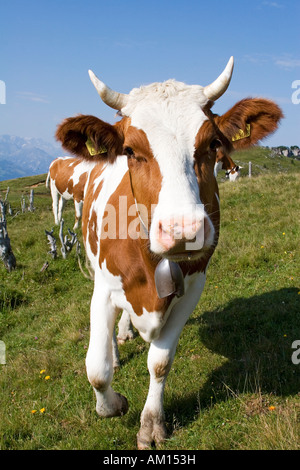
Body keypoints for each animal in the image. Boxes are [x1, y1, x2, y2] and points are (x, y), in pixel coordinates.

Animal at [55, 57, 282, 450]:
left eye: (212, 144)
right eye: (130, 151)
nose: (182, 231)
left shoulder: (192, 290)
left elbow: (159, 362)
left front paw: (152, 424)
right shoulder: (104, 287)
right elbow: (96, 369)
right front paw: (114, 403)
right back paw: (118, 348)